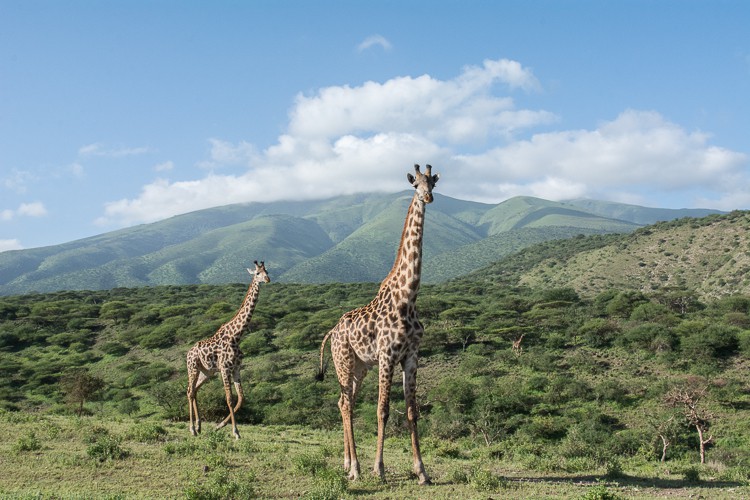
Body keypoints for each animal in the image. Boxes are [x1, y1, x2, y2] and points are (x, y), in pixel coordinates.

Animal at [187, 260, 270, 440]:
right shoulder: (225, 368)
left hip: (206, 372)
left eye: (267, 271)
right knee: (189, 391)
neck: (237, 335)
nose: (267, 280)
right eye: (257, 273)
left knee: (195, 390)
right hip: (193, 368)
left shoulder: (237, 368)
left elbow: (241, 398)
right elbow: (229, 399)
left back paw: (199, 426)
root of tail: (188, 352)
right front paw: (235, 432)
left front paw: (219, 426)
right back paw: (192, 429)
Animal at [318, 164, 440, 484]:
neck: (408, 296)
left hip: (360, 367)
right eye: (415, 185)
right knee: (346, 403)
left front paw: (422, 471)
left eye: (433, 182)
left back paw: (348, 464)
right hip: (343, 361)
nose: (428, 197)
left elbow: (412, 412)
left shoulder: (411, 357)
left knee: (343, 402)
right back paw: (356, 468)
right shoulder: (387, 355)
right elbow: (382, 410)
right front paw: (380, 469)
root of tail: (332, 332)